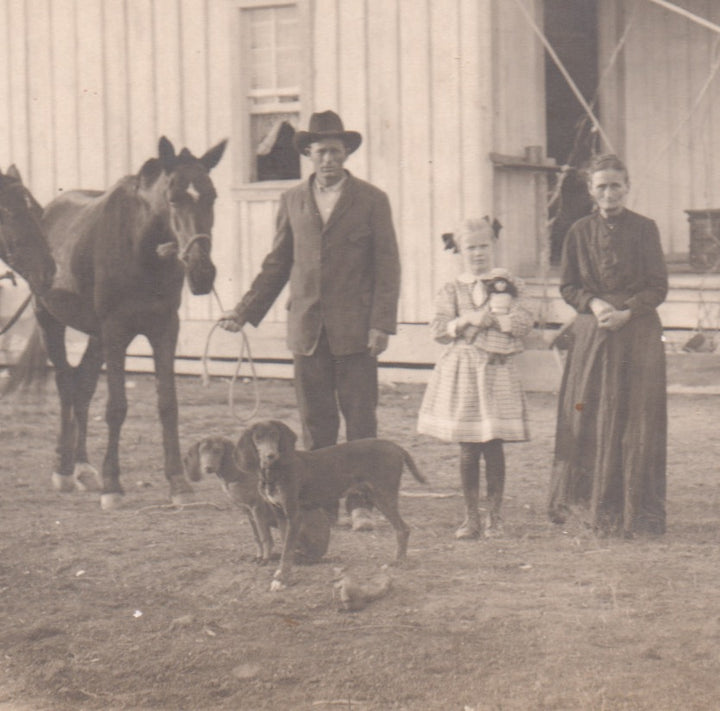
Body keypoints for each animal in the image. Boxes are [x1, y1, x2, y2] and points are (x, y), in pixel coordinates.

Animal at [6, 136, 225, 508]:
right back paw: (64, 469)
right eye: (173, 198)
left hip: (96, 337)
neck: (141, 248)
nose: (202, 273)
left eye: (211, 195)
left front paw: (178, 483)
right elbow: (116, 407)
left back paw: (82, 467)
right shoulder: (115, 331)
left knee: (82, 388)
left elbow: (168, 404)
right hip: (51, 322)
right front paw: (113, 485)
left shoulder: (164, 329)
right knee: (66, 387)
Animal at [186, 434, 332, 568]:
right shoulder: (248, 512)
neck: (238, 475)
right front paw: (259, 556)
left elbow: (264, 537)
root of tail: (324, 550)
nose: (208, 468)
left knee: (301, 552)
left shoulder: (257, 509)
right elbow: (257, 537)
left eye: (217, 450)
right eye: (202, 451)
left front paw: (265, 558)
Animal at [235, 422, 428, 588]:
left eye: (275, 434)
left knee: (403, 529)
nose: (271, 455)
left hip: (384, 496)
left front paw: (281, 579)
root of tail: (396, 446)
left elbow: (287, 550)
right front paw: (283, 573)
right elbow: (286, 547)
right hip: (376, 496)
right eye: (257, 438)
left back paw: (399, 561)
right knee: (401, 529)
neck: (276, 471)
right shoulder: (281, 514)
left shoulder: (294, 515)